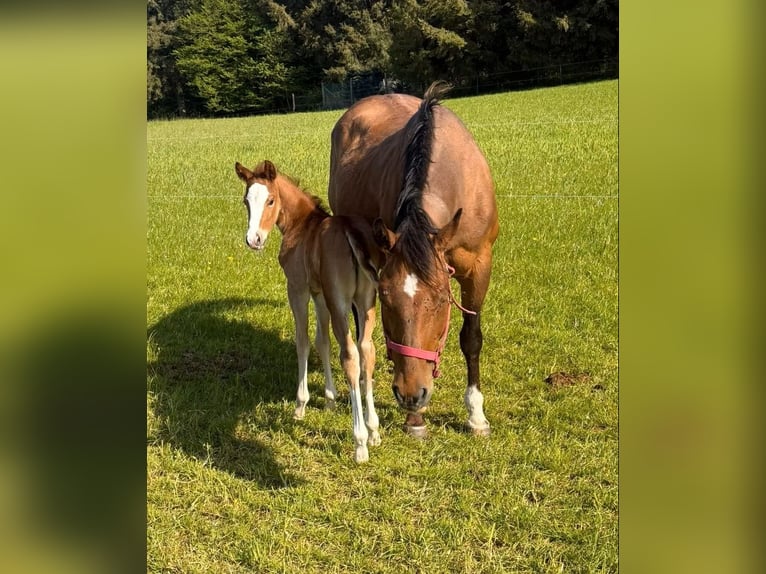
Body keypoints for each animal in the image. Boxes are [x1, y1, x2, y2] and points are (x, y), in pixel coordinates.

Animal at [235, 159, 383, 463]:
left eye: (270, 200)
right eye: (246, 200)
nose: (254, 240)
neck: (303, 226)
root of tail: (351, 232)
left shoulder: (299, 289)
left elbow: (303, 341)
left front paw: (301, 405)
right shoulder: (320, 294)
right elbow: (322, 341)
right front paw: (330, 399)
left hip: (341, 301)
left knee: (350, 355)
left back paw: (360, 441)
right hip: (365, 301)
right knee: (367, 350)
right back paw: (374, 431)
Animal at [328, 82, 499, 438]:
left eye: (441, 301)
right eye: (386, 299)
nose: (410, 394)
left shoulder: (479, 265)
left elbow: (471, 339)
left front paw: (476, 415)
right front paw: (415, 419)